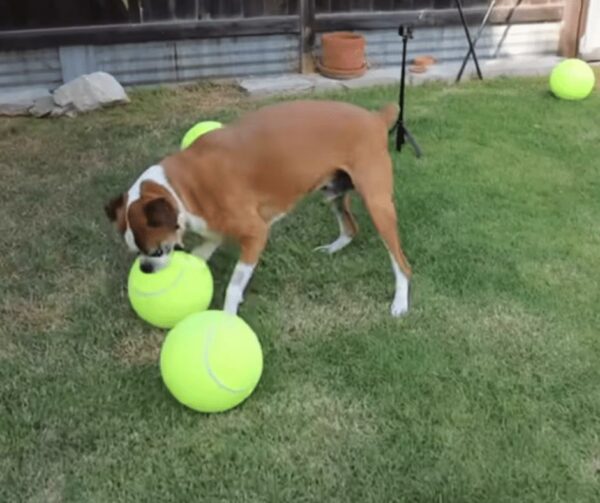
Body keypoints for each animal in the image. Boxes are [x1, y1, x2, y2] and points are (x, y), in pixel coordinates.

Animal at [104, 100, 412, 316]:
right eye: (135, 251)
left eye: (155, 251)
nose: (145, 268)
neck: (180, 186)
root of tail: (375, 117)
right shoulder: (213, 230)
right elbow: (202, 252)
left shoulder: (255, 235)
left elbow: (234, 285)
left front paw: (228, 318)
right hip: (333, 192)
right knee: (350, 227)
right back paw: (333, 248)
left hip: (378, 205)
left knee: (401, 263)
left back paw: (400, 302)